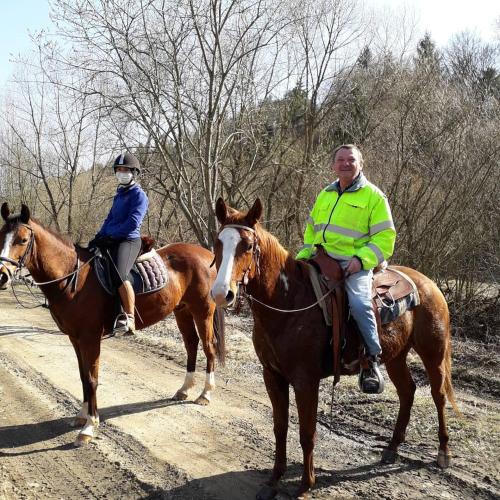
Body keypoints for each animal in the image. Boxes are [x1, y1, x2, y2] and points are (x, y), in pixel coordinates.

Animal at [0, 203, 224, 446]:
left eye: (22, 240)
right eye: (1, 235)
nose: (2, 276)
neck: (73, 276)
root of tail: (207, 254)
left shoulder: (90, 338)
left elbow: (92, 379)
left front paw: (89, 427)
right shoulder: (75, 338)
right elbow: (83, 376)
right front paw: (82, 416)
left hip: (203, 311)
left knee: (209, 347)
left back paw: (204, 394)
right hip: (182, 310)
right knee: (191, 344)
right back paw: (184, 390)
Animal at [209, 199, 458, 500]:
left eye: (246, 245)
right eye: (218, 242)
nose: (221, 293)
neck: (289, 302)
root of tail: (428, 283)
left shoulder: (306, 381)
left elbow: (307, 433)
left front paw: (305, 485)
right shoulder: (272, 376)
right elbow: (280, 428)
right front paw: (273, 482)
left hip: (433, 354)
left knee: (439, 396)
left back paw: (443, 453)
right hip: (396, 356)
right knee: (407, 392)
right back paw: (392, 448)